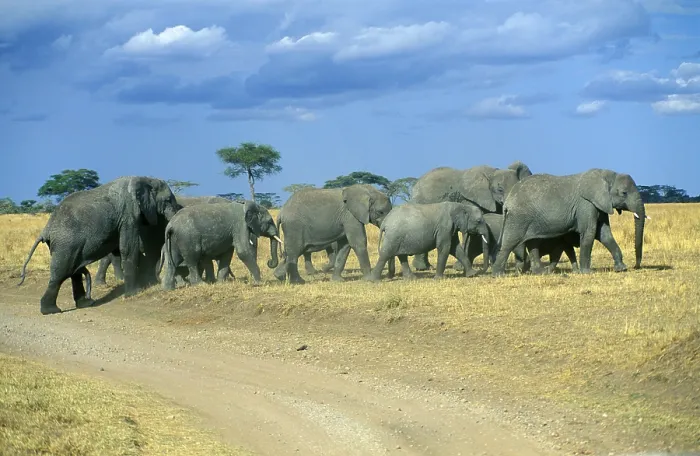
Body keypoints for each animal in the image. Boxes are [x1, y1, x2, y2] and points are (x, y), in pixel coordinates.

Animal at [18, 176, 179, 315]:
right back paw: (51, 311)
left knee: (74, 272)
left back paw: (85, 304)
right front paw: (135, 293)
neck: (145, 178)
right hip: (66, 243)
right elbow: (128, 249)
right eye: (168, 200)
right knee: (61, 272)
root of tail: (46, 229)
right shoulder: (129, 214)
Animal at [491, 168, 648, 276]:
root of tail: (508, 201)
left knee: (532, 242)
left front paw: (621, 268)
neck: (607, 175)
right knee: (510, 242)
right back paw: (498, 274)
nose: (636, 266)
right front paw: (586, 273)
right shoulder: (586, 204)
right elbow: (589, 233)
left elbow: (605, 234)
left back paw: (541, 272)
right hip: (519, 217)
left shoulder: (600, 205)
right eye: (624, 193)